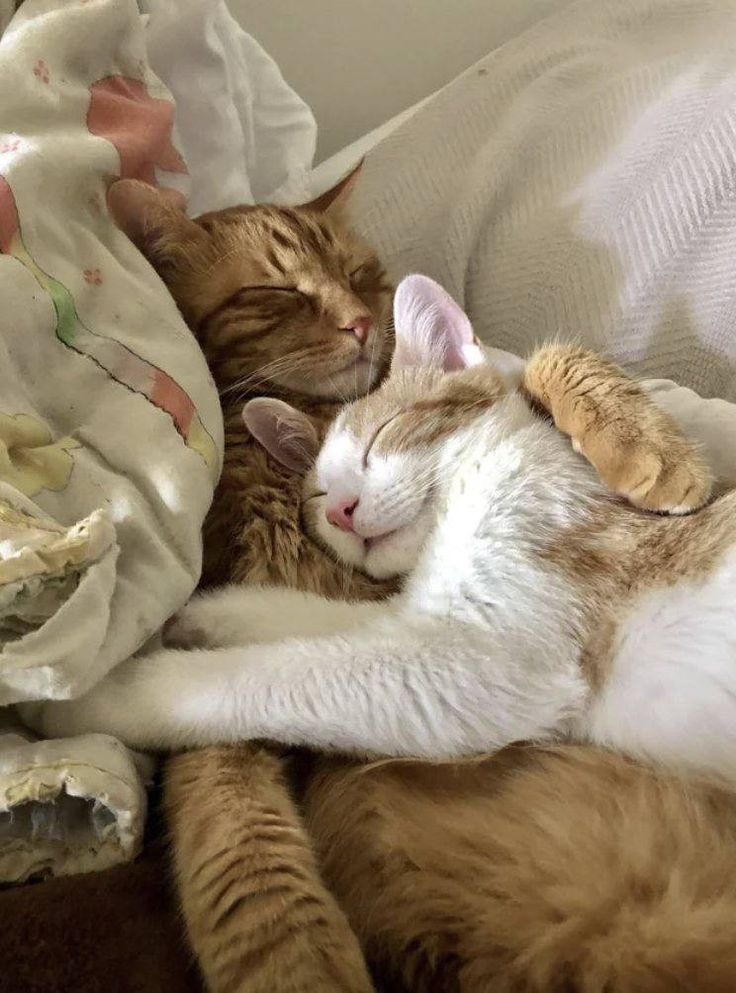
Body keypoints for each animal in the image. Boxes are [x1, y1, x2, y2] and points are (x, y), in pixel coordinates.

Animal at [28, 276, 736, 788]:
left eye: (378, 439)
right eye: (318, 494)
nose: (343, 510)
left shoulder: (476, 662)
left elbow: (261, 676)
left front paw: (94, 698)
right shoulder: (413, 615)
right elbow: (313, 618)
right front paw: (211, 612)